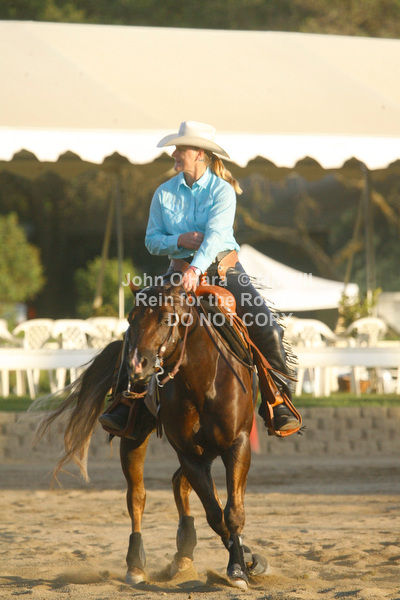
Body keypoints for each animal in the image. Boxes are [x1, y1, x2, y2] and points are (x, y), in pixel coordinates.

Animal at [35, 281, 268, 589]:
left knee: (179, 484)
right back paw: (137, 564)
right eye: (131, 318)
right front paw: (241, 564)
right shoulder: (189, 453)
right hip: (134, 438)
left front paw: (241, 567)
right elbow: (215, 514)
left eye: (168, 318)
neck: (204, 382)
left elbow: (231, 512)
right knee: (137, 496)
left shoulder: (237, 445)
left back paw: (185, 555)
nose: (137, 364)